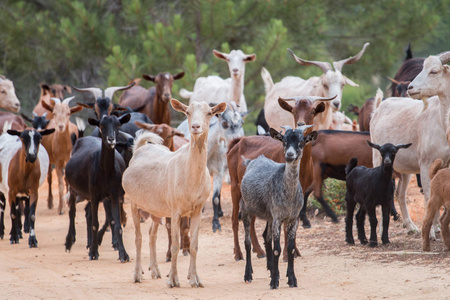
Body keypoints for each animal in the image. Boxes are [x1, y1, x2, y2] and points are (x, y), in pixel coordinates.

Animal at [123, 99, 227, 288]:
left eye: (209, 113)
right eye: (187, 112)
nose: (195, 126)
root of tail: (139, 149)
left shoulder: (197, 209)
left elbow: (194, 245)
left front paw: (195, 279)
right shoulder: (175, 210)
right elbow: (175, 245)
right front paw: (173, 279)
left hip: (156, 208)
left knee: (152, 234)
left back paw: (155, 271)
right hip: (134, 202)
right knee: (138, 238)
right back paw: (137, 274)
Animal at [239, 123, 316, 288]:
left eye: (301, 142)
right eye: (284, 141)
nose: (289, 155)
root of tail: (251, 161)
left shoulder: (293, 218)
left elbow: (290, 248)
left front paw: (291, 279)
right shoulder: (277, 218)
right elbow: (277, 249)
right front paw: (274, 282)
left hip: (268, 215)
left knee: (266, 237)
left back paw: (272, 270)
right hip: (246, 209)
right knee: (247, 242)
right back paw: (248, 274)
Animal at [370, 52, 450, 239]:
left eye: (434, 71)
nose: (411, 88)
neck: (441, 121)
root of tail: (378, 107)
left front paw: (437, 228)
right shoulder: (426, 164)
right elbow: (428, 195)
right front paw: (431, 232)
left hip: (404, 168)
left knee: (400, 193)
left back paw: (410, 226)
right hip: (377, 158)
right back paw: (380, 231)